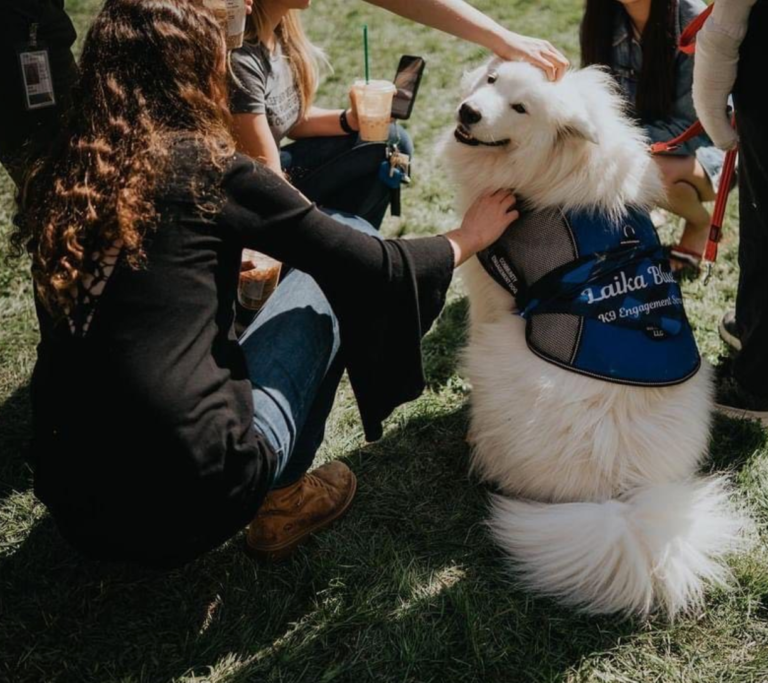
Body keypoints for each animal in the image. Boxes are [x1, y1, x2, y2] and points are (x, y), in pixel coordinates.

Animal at [440, 60, 748, 620]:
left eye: (521, 108)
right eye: (493, 82)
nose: (468, 112)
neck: (550, 168)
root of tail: (617, 493)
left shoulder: (490, 290)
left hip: (495, 352)